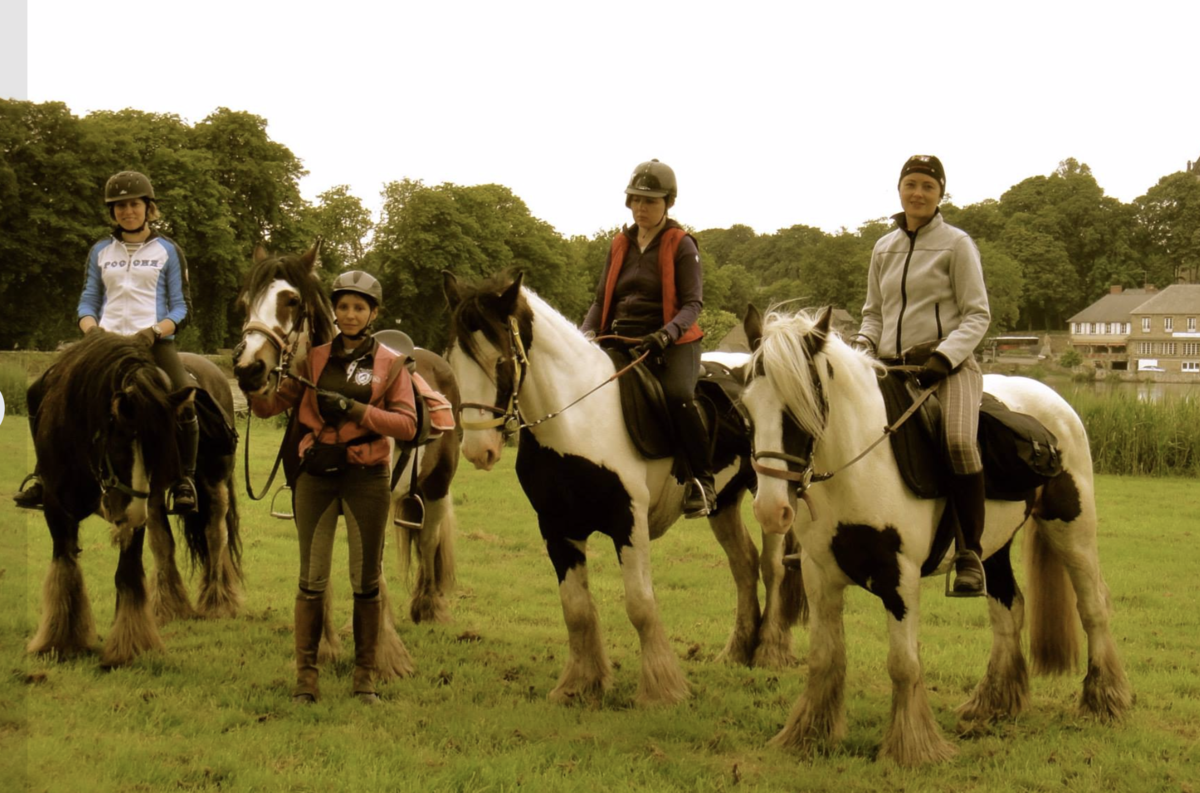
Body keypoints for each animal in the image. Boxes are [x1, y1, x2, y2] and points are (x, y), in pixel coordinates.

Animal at [28, 331, 198, 667]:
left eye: (158, 446)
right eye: (119, 441)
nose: (133, 514)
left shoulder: (138, 514)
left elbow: (128, 575)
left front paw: (130, 647)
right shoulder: (55, 506)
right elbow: (65, 567)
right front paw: (59, 643)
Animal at [231, 242, 460, 681]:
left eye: (291, 300)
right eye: (244, 303)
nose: (250, 368)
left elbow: (374, 573)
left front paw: (386, 656)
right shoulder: (307, 499)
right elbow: (316, 567)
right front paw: (322, 648)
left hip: (437, 487)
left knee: (429, 538)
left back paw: (429, 607)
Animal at [444, 272, 806, 705]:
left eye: (500, 361)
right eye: (452, 361)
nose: (477, 449)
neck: (578, 418)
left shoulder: (628, 523)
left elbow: (640, 604)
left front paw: (662, 688)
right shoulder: (556, 528)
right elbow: (576, 608)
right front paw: (580, 684)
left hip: (767, 493)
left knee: (772, 565)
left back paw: (770, 649)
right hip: (724, 502)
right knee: (744, 564)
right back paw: (737, 650)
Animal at [734, 305, 1128, 763]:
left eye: (803, 404)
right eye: (747, 407)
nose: (770, 509)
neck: (862, 460)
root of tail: (1054, 403)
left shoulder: (899, 578)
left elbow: (903, 664)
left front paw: (912, 746)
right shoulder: (819, 575)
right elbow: (824, 658)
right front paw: (809, 734)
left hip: (1072, 530)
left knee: (1093, 607)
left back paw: (1105, 699)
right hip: (990, 547)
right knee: (1009, 610)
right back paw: (993, 702)